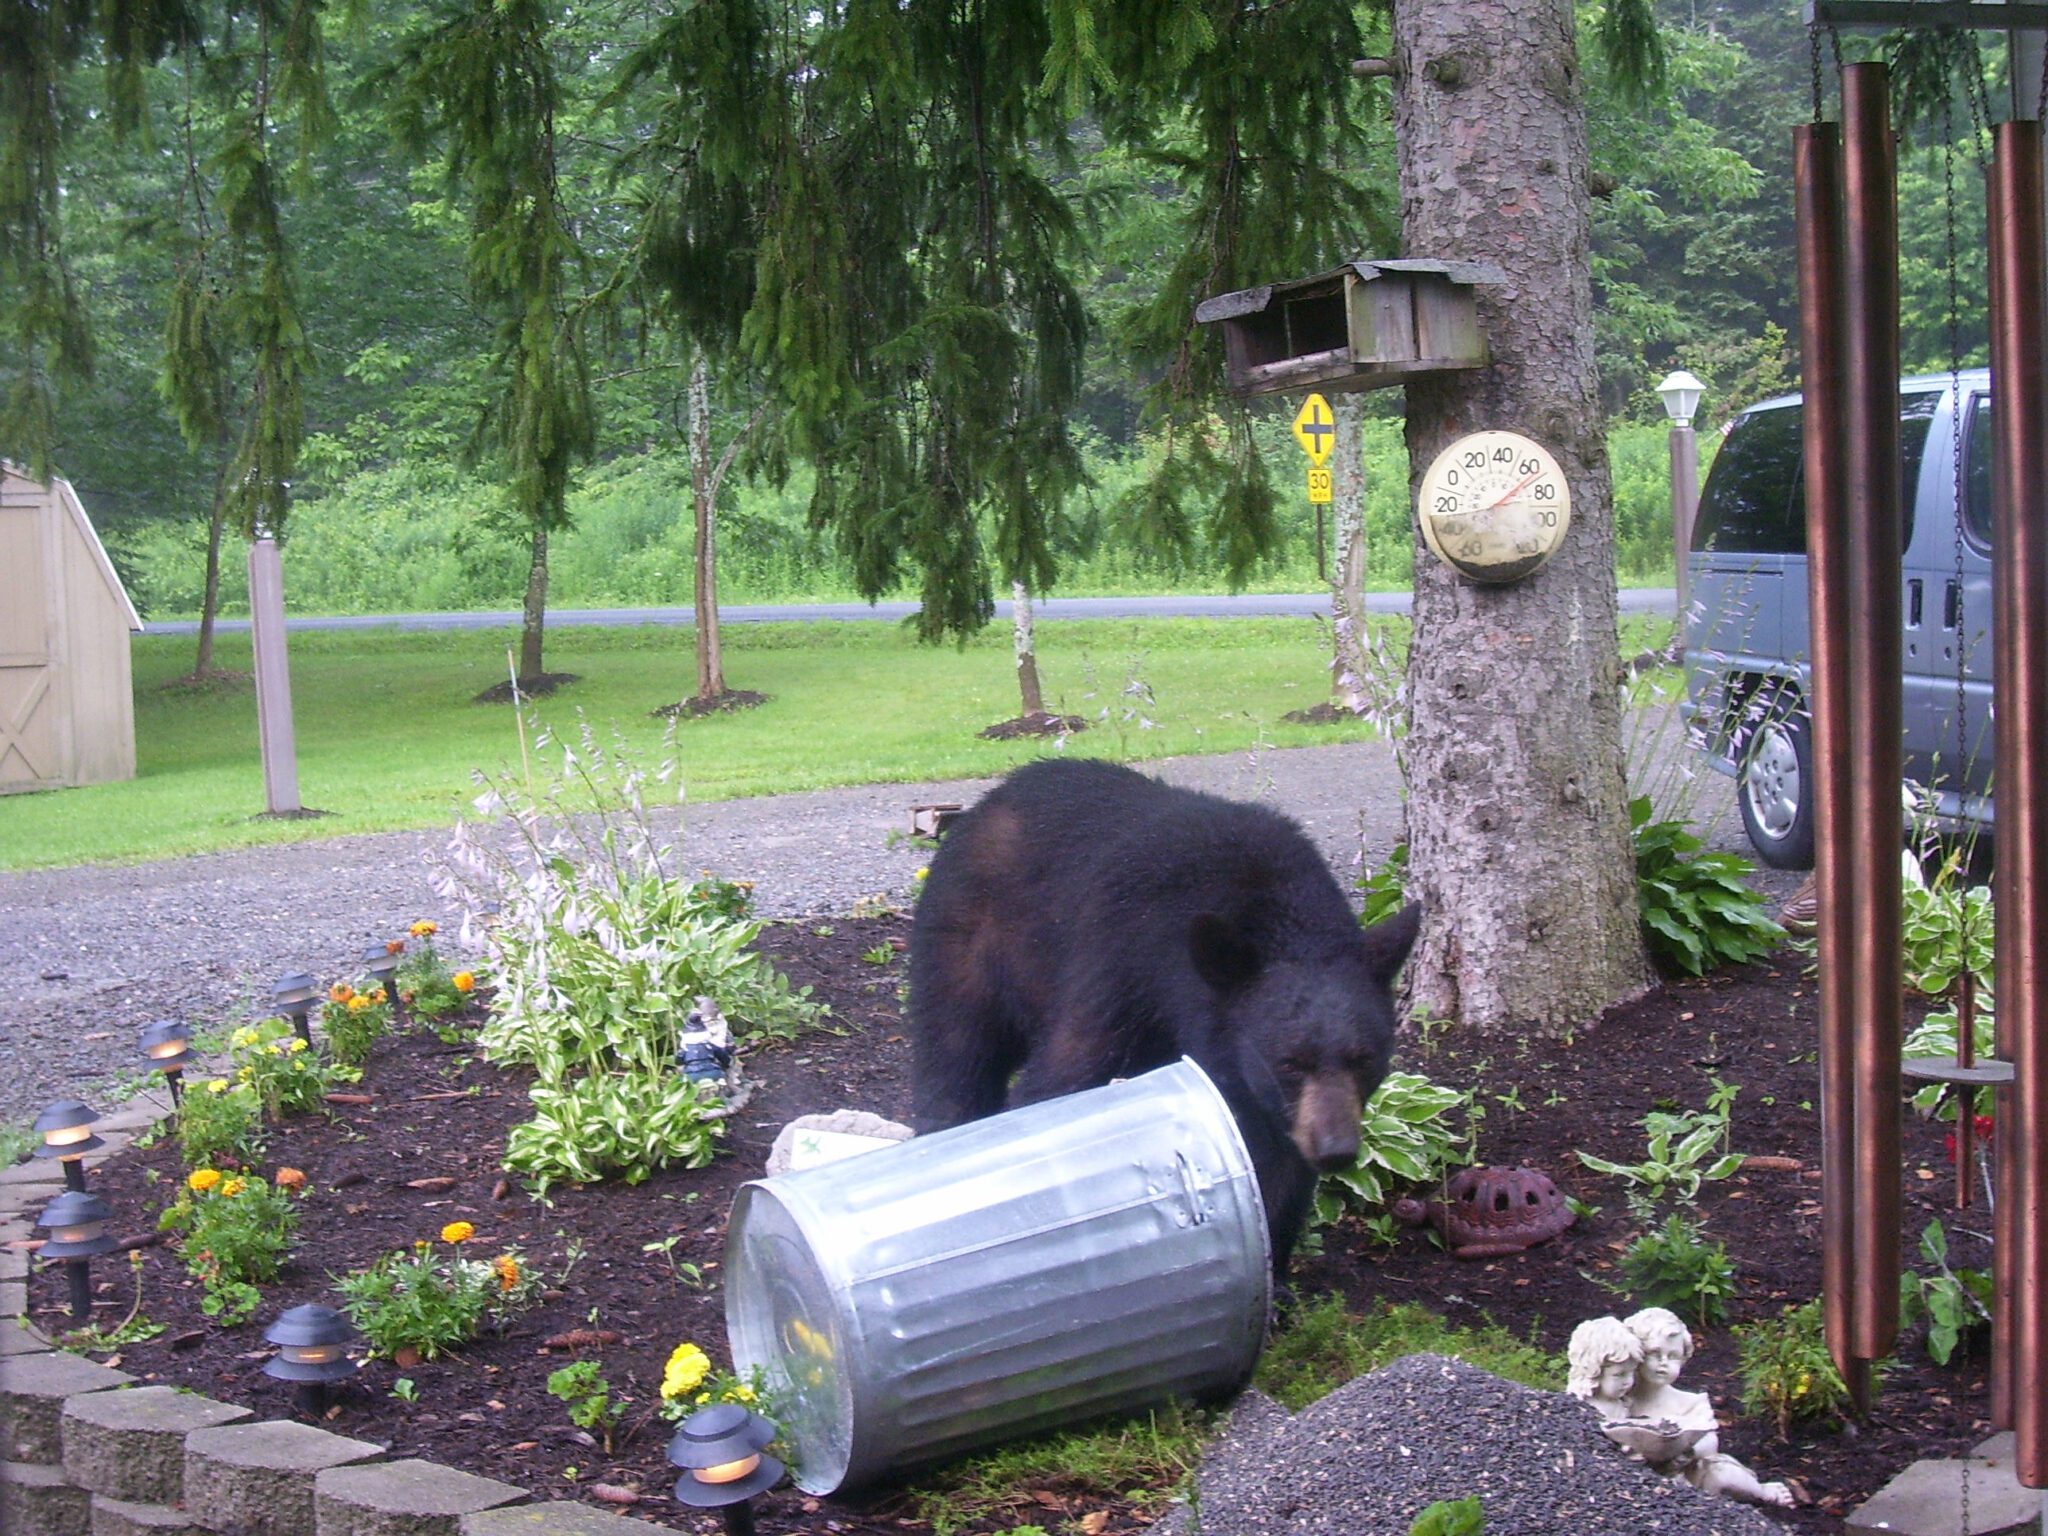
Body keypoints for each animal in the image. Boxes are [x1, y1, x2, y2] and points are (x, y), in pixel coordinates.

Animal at [905, 753, 1417, 1277]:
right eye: (1290, 1062)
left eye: (1365, 1059)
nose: (1336, 1149)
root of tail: (986, 803)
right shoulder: (1120, 963)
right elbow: (1059, 1080)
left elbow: (1277, 1172)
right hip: (970, 941)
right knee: (956, 1053)